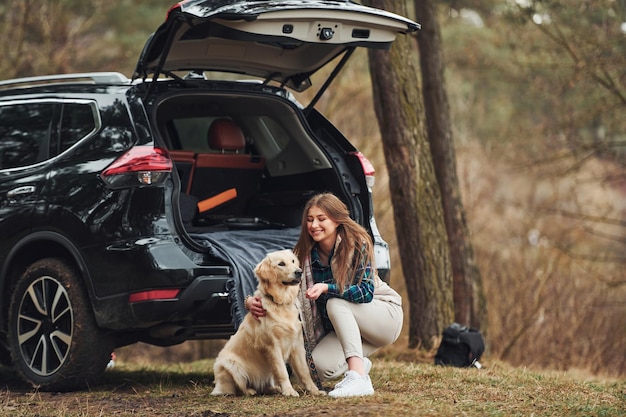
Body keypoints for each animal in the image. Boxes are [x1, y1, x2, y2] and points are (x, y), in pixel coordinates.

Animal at [212, 249, 324, 394]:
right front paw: (289, 391)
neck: (281, 302)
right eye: (281, 264)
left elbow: (304, 371)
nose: (299, 272)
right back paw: (250, 391)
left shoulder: (297, 344)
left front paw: (315, 391)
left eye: (293, 261)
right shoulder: (272, 346)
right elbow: (282, 372)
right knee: (238, 387)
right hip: (230, 364)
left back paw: (274, 388)